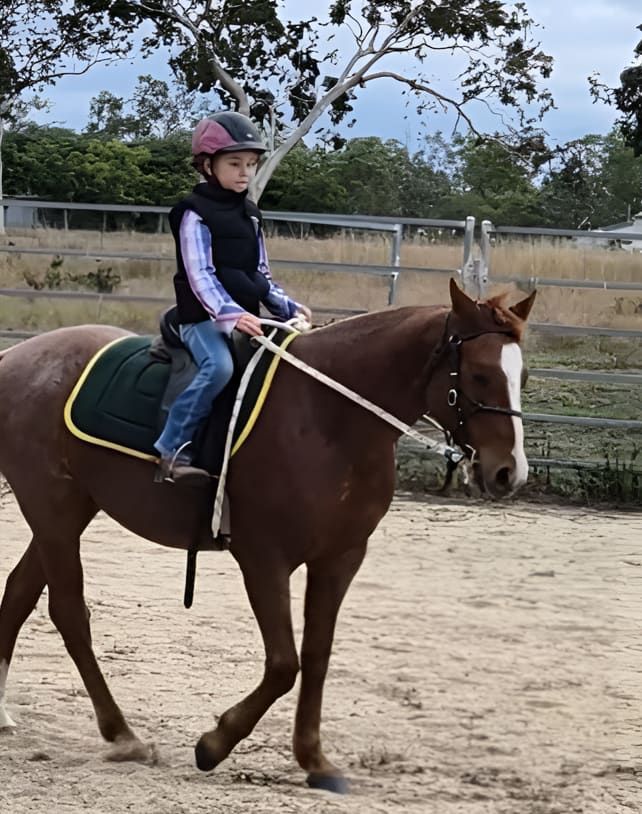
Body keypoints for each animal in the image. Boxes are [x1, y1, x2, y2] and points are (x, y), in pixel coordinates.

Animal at [0, 279, 535, 793]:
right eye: (480, 375)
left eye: (522, 377)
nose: (508, 472)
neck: (327, 415)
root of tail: (16, 358)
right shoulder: (263, 559)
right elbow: (283, 664)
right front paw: (214, 744)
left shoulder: (340, 557)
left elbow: (316, 658)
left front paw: (316, 761)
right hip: (53, 509)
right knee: (69, 612)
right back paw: (122, 734)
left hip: (70, 511)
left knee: (20, 594)